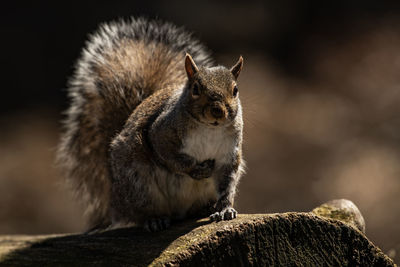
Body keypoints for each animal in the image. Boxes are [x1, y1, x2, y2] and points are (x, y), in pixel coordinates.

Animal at [56, 17, 244, 232]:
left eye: (235, 90)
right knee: (140, 212)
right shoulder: (161, 132)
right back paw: (155, 219)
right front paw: (196, 169)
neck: (210, 129)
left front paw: (225, 209)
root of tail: (115, 203)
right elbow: (170, 156)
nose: (217, 111)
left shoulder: (229, 154)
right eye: (196, 89)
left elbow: (227, 183)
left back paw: (204, 208)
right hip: (138, 183)